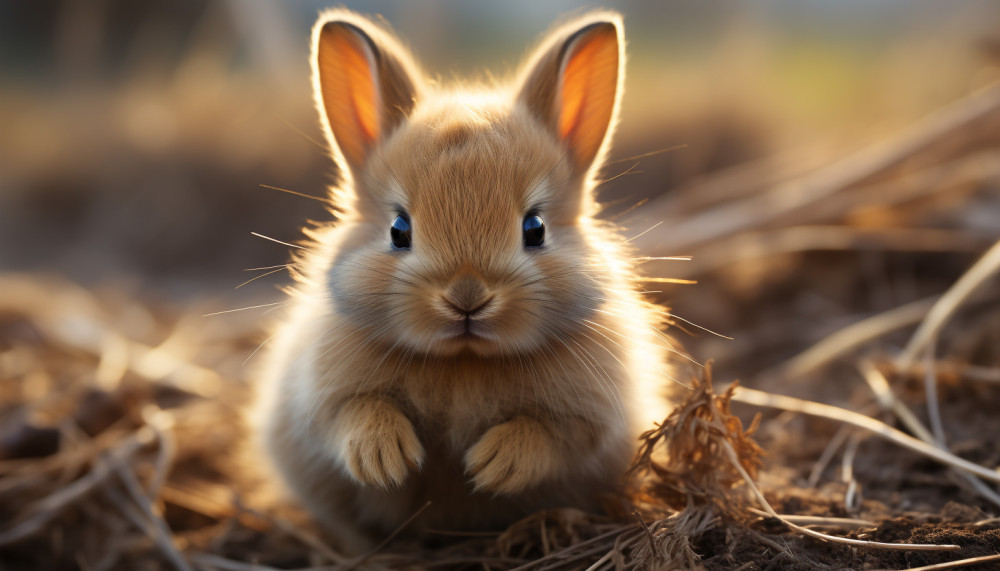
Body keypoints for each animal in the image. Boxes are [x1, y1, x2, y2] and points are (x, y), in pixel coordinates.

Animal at [256, 7, 680, 549]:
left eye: (535, 228)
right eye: (399, 230)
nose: (467, 298)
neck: (464, 360)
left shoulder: (589, 419)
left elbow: (551, 435)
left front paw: (492, 465)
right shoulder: (321, 400)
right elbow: (353, 413)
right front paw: (385, 458)